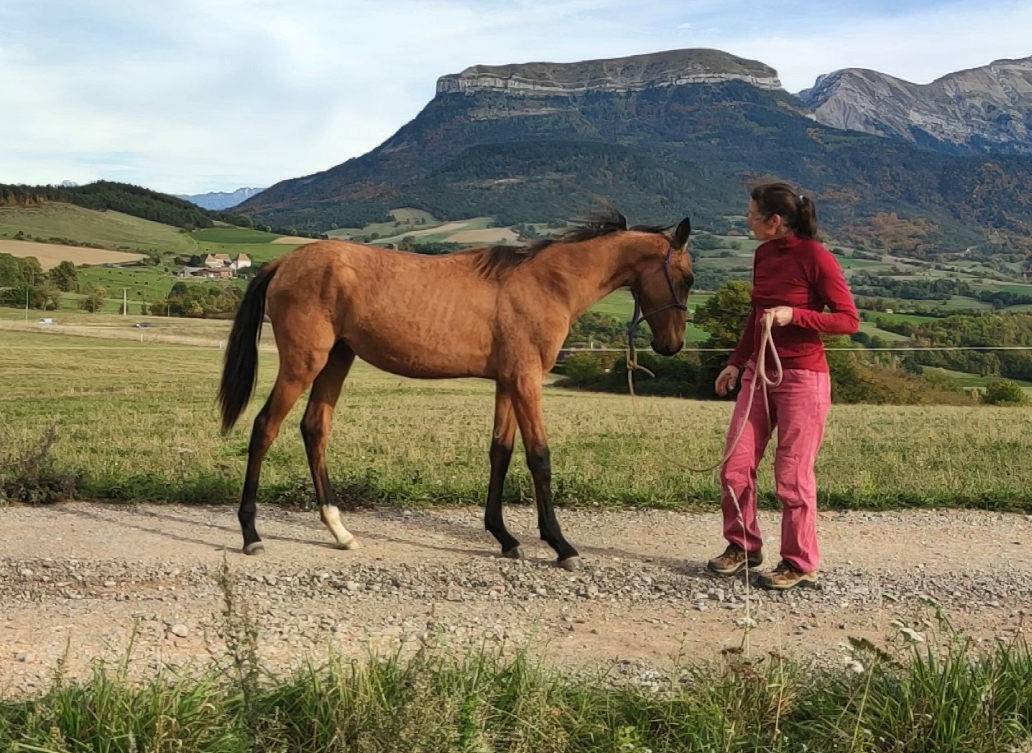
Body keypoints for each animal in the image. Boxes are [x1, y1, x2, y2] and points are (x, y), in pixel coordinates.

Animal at [217, 209, 694, 570]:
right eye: (687, 278)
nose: (671, 345)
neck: (546, 282)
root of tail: (284, 262)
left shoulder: (508, 382)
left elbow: (501, 452)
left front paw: (505, 537)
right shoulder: (526, 381)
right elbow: (539, 457)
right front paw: (561, 545)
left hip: (337, 360)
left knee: (315, 429)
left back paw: (340, 531)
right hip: (304, 363)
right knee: (264, 427)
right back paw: (250, 532)